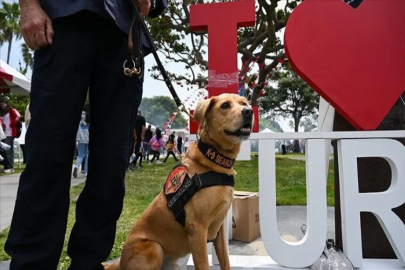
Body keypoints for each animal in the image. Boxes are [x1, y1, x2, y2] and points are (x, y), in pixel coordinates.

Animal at [103, 93, 252, 270]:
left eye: (244, 103)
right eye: (225, 106)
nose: (249, 111)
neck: (213, 159)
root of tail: (120, 262)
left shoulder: (219, 229)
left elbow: (225, 261)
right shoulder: (197, 229)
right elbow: (203, 264)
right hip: (154, 248)